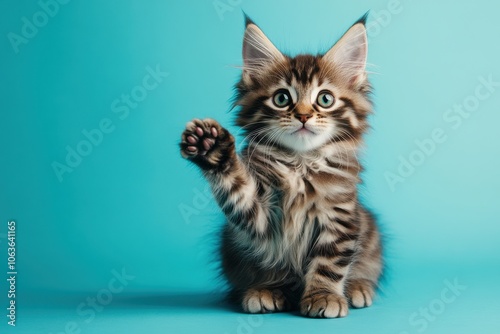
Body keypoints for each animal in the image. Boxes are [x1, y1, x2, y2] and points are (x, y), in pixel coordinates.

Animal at [181, 15, 382, 318]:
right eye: (282, 98)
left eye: (325, 99)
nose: (303, 116)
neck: (301, 163)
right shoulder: (261, 214)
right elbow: (237, 188)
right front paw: (212, 147)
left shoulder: (340, 216)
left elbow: (330, 263)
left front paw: (324, 295)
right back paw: (265, 291)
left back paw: (358, 287)